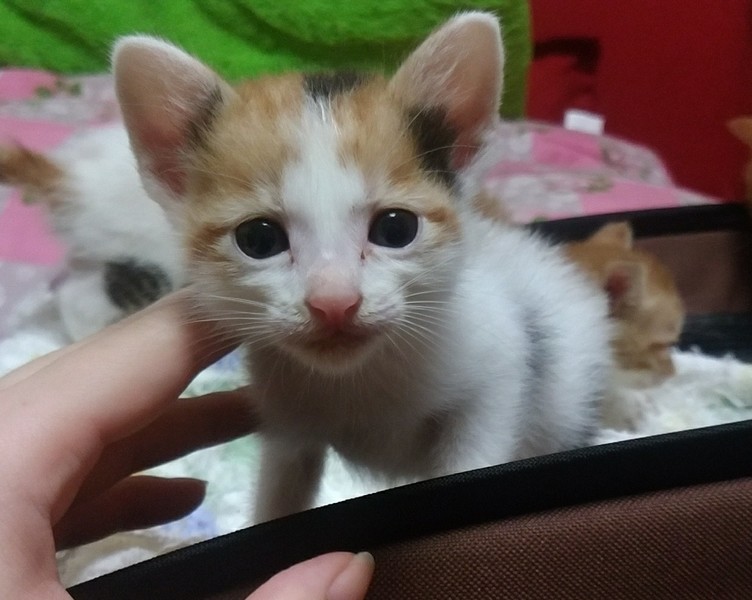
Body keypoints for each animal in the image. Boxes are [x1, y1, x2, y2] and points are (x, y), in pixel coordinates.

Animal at [114, 12, 612, 523]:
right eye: (258, 239)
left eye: (396, 229)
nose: (334, 302)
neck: (359, 379)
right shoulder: (288, 427)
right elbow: (280, 492)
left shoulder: (498, 368)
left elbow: (475, 451)